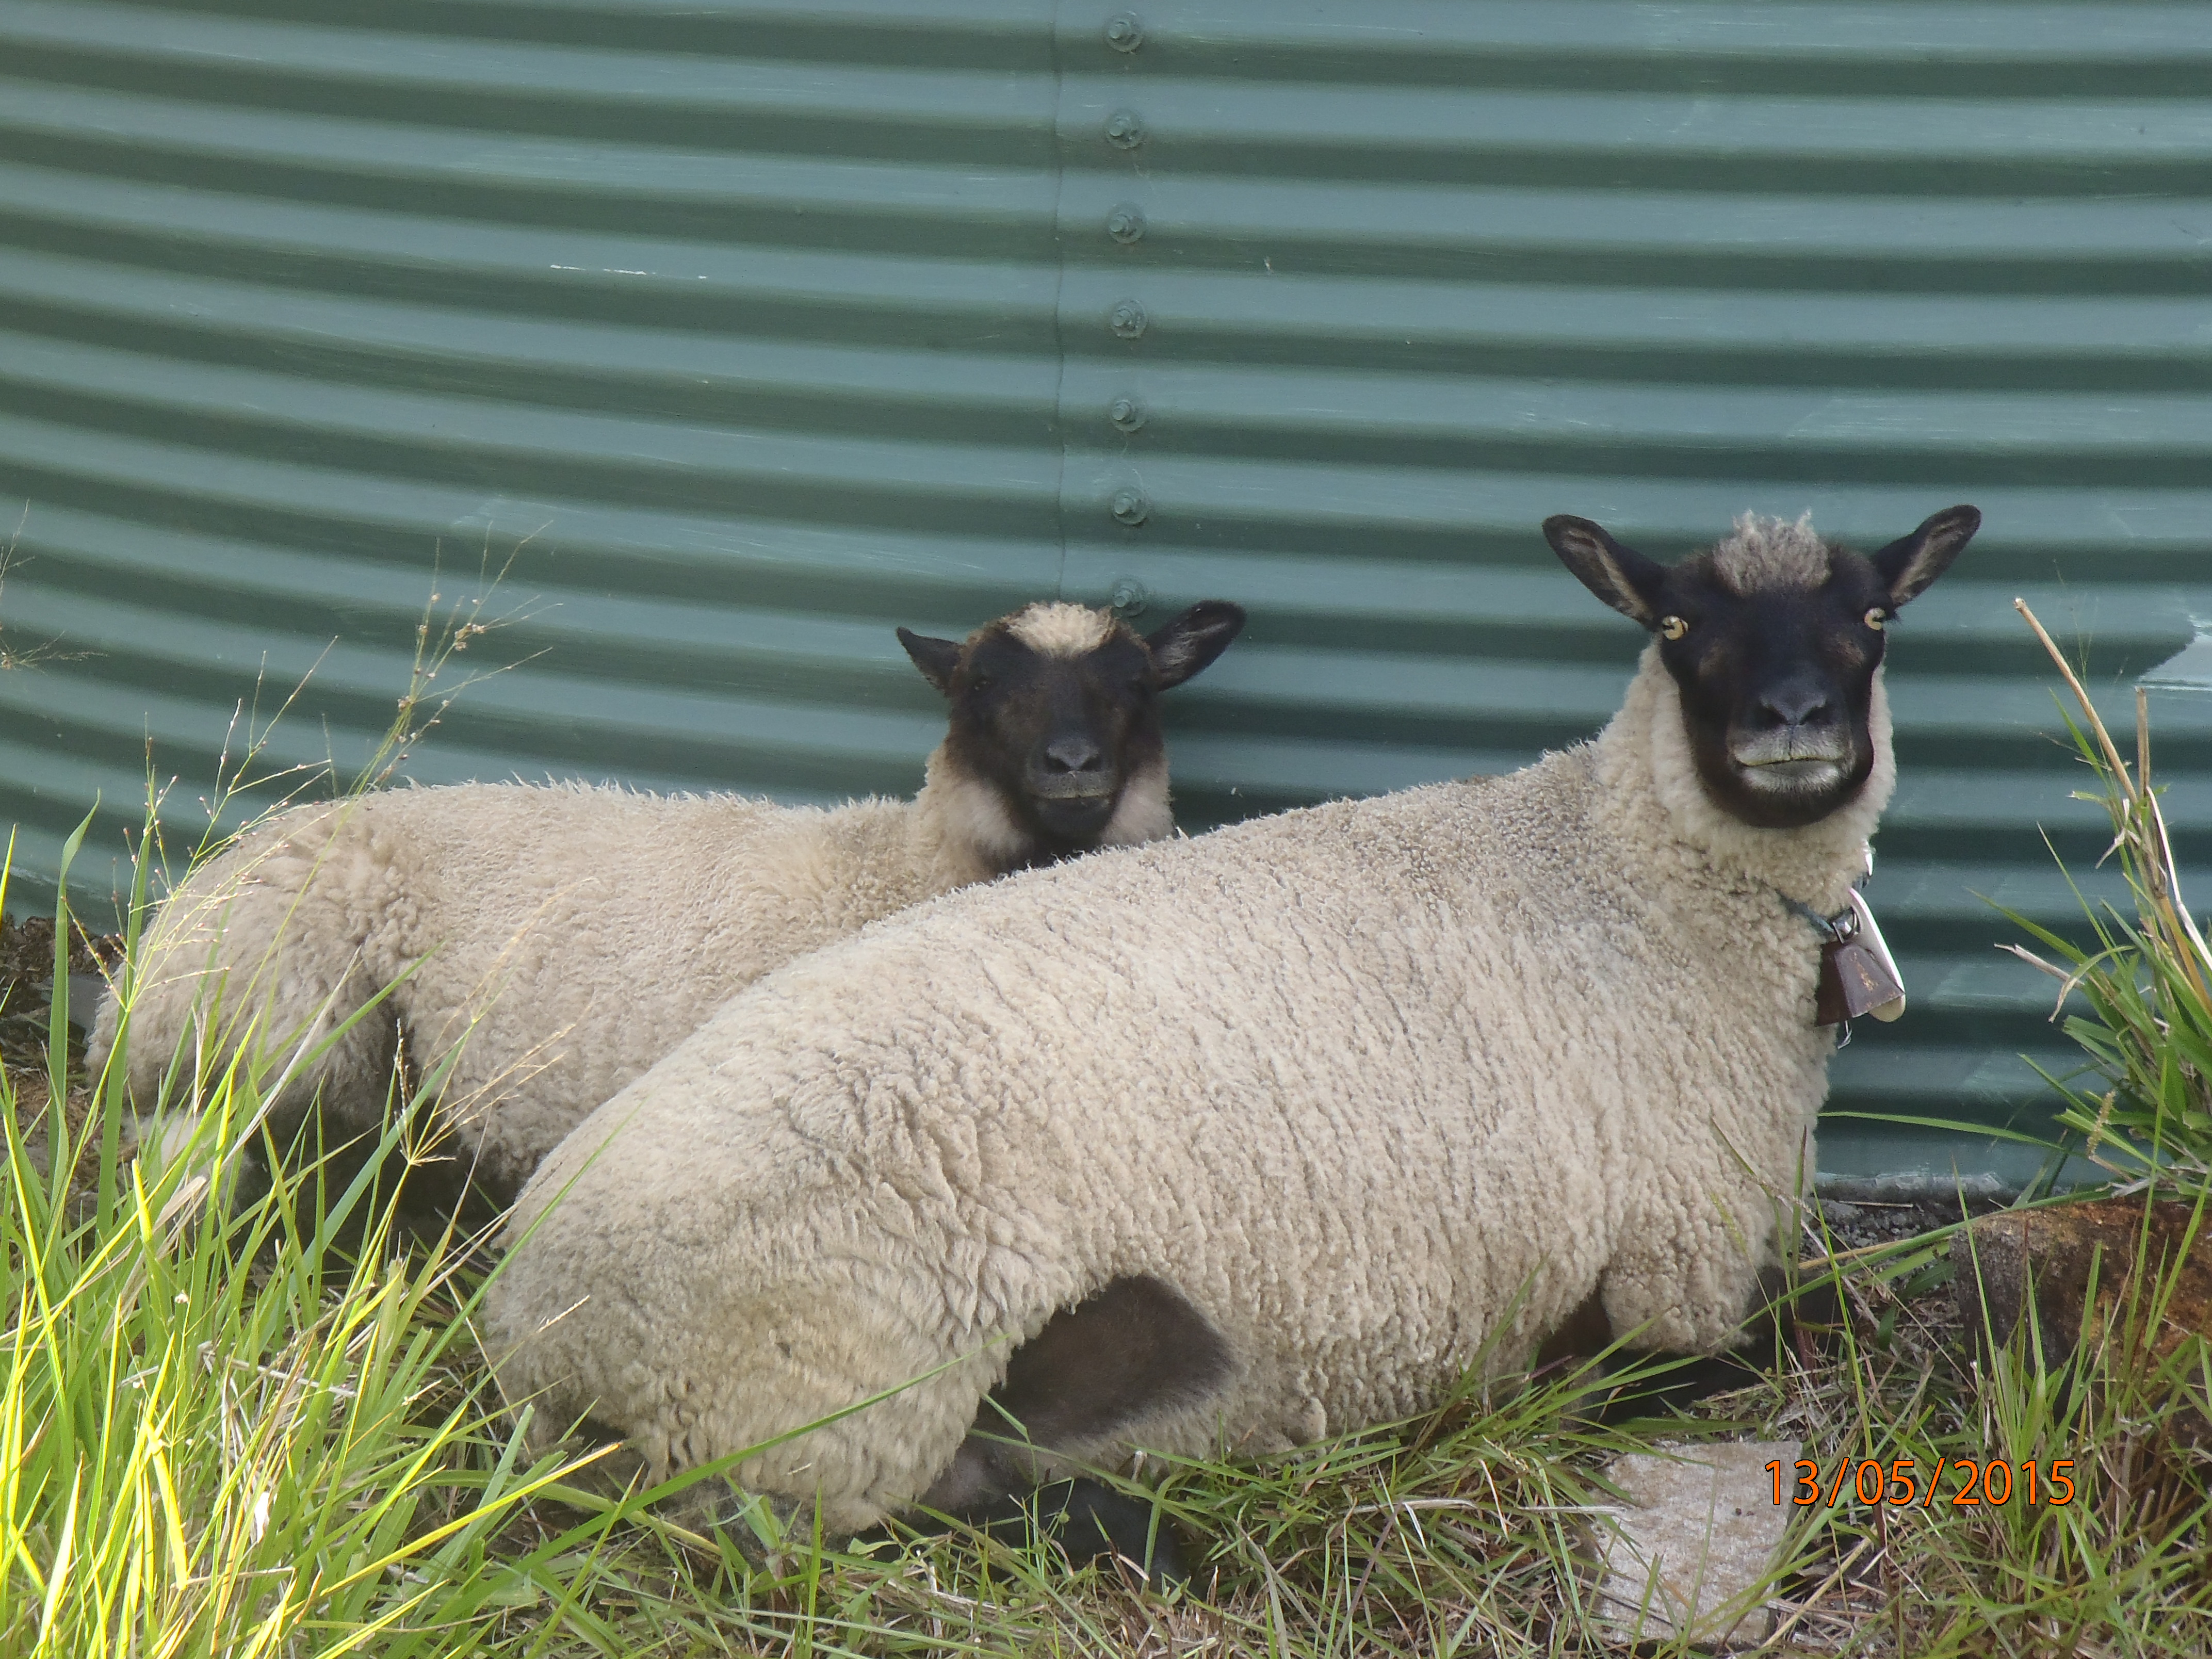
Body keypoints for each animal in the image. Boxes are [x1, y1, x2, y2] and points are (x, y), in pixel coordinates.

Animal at [493, 504, 1982, 1557]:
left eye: (1869, 616)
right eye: (1677, 625)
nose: (1791, 725)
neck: (1620, 875)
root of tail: (538, 1318)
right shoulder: (1672, 1278)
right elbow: (1786, 1337)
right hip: (837, 1394)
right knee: (860, 1516)